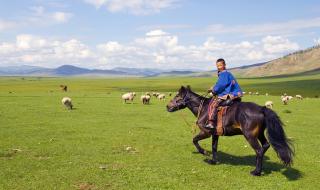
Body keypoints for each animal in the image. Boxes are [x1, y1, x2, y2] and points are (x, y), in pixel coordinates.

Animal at [166, 86, 294, 177]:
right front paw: (213, 161)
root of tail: (262, 108)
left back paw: (256, 172)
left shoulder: (206, 132)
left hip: (250, 136)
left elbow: (194, 140)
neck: (203, 108)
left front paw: (204, 152)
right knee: (265, 146)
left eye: (177, 96)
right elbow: (214, 147)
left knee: (258, 150)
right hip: (259, 134)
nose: (167, 106)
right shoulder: (215, 134)